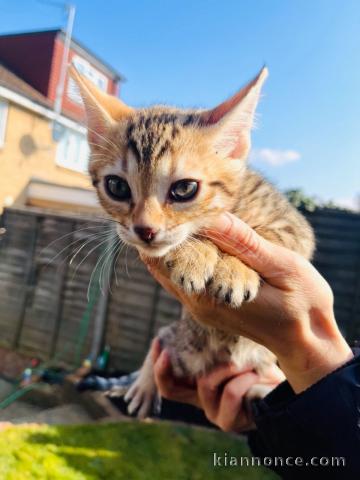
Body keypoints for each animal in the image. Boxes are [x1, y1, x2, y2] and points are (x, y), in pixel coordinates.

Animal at [71, 65, 316, 418]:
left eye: (184, 189)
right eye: (117, 186)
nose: (145, 229)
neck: (234, 205)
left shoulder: (296, 228)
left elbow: (265, 235)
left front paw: (234, 270)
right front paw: (194, 254)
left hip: (257, 358)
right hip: (185, 348)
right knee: (162, 337)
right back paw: (146, 382)